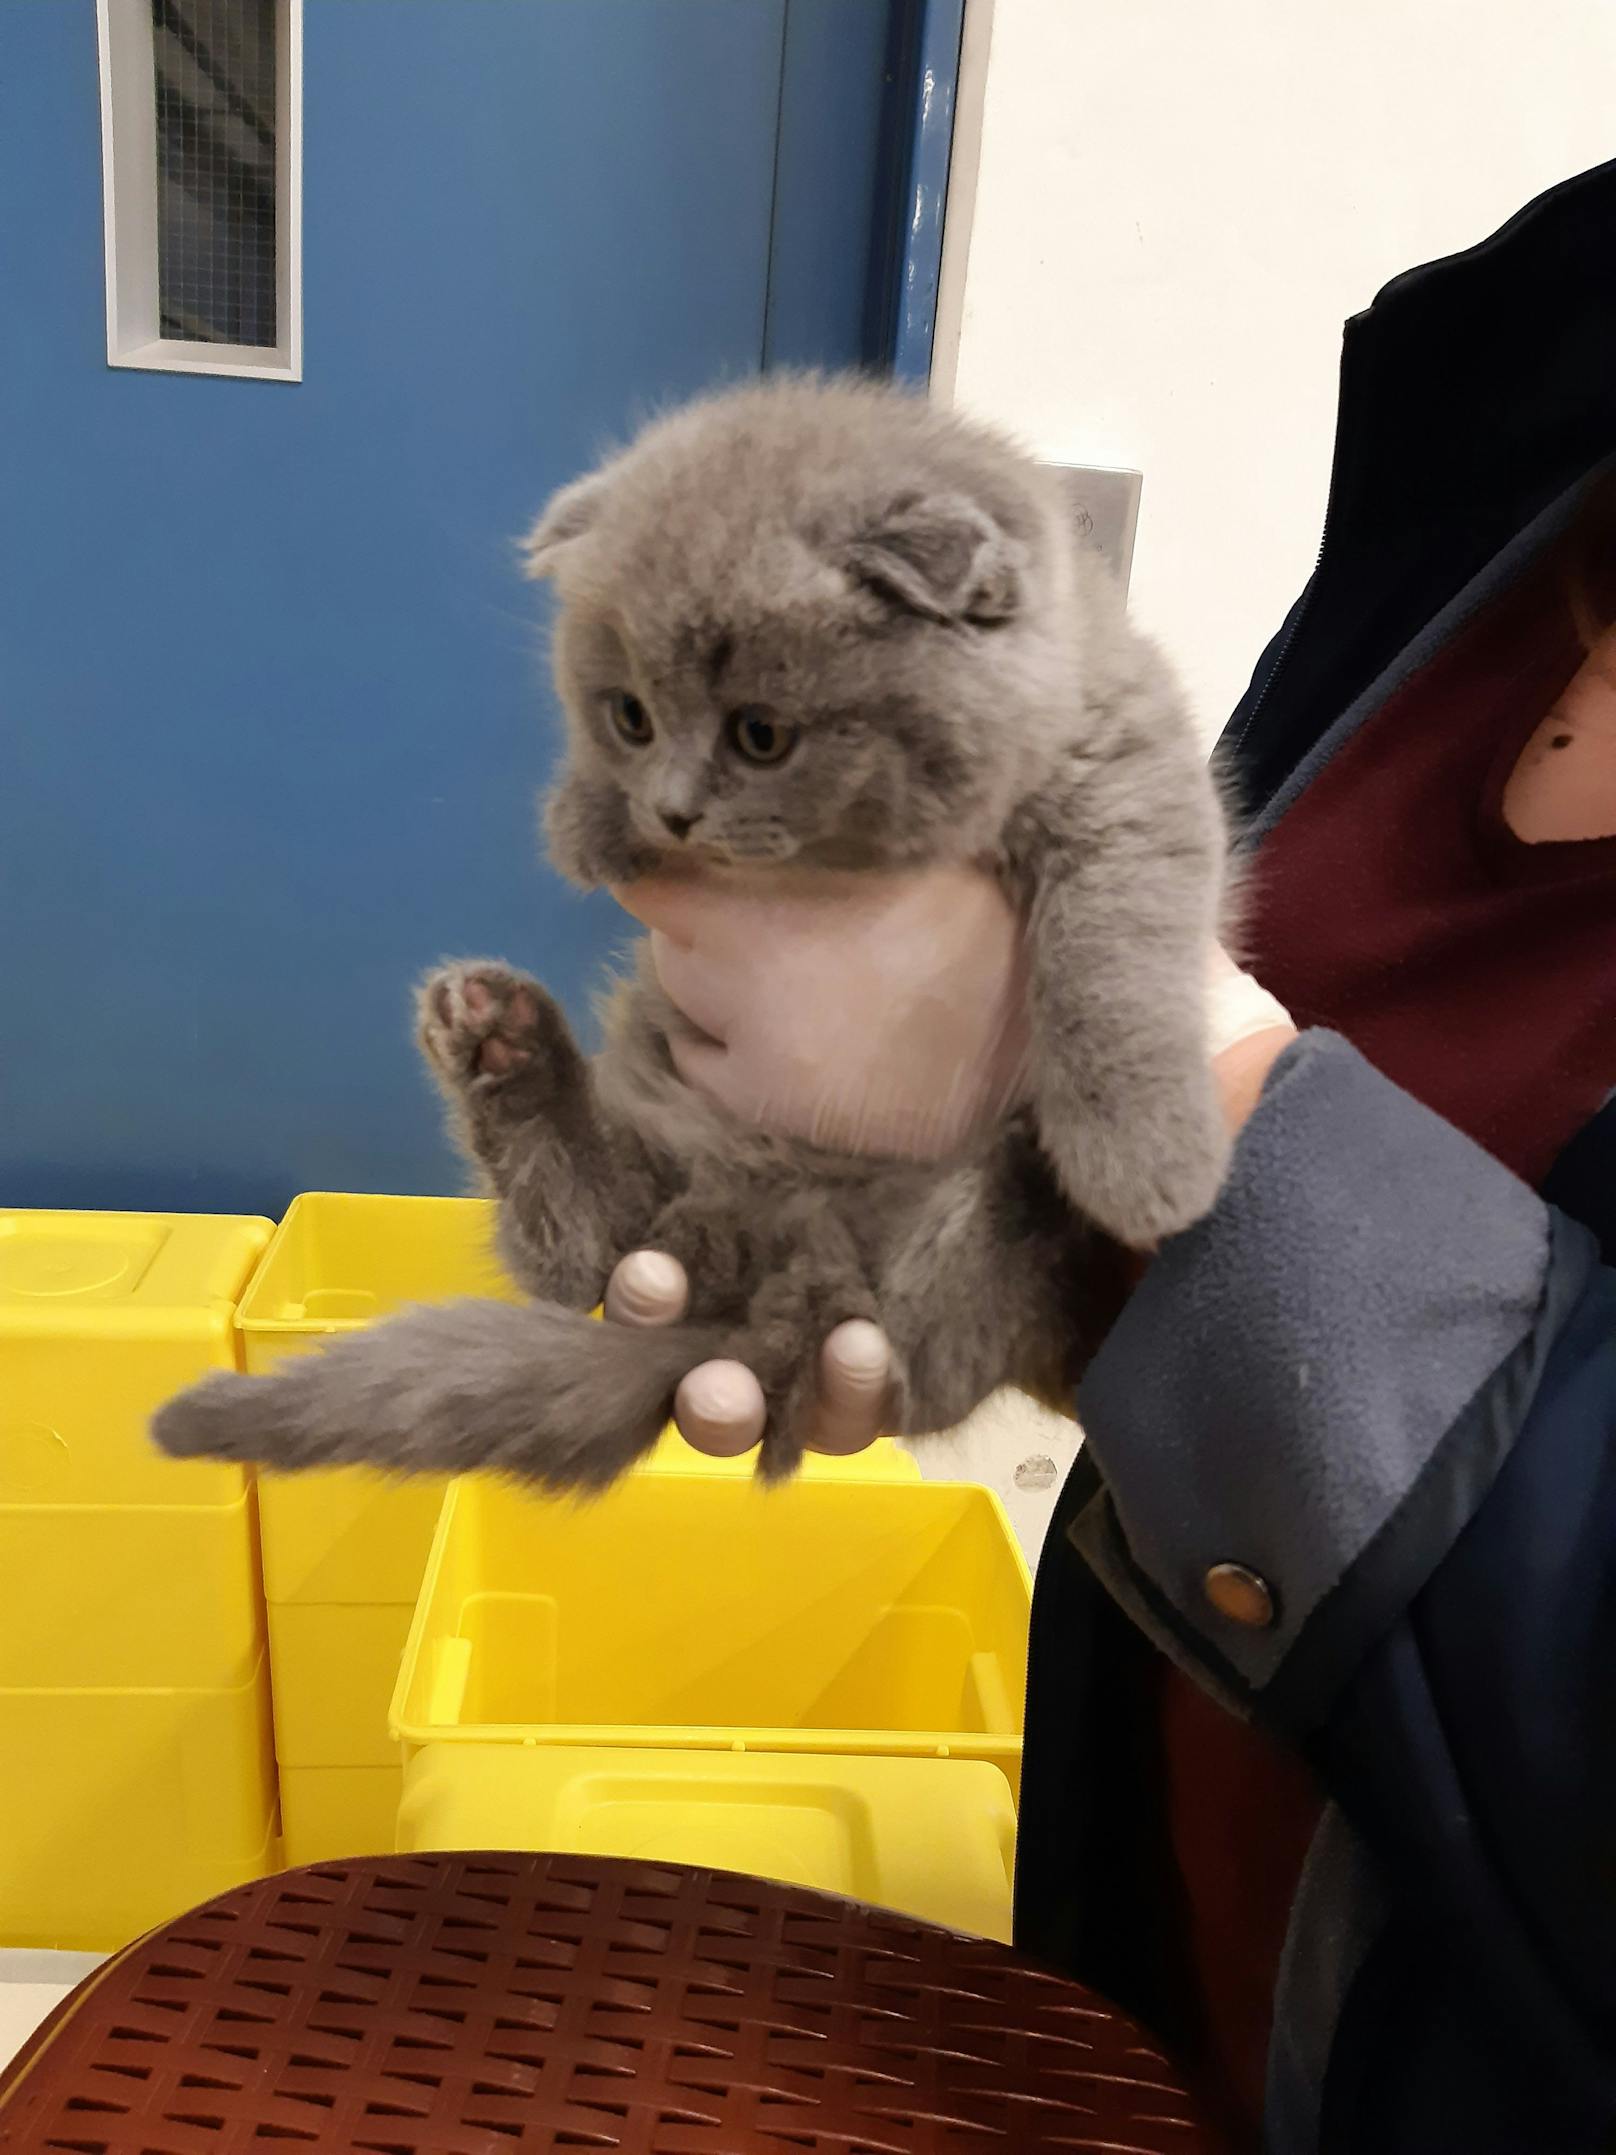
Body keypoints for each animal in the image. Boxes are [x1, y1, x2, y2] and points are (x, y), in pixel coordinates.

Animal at [158, 374, 1232, 1482]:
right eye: (628, 716)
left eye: (761, 734)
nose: (672, 812)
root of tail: (767, 1273)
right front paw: (586, 818)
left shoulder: (1122, 767)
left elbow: (1118, 947)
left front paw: (1148, 1165)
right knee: (583, 1249)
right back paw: (499, 1042)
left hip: (937, 1295)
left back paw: (1035, 1170)